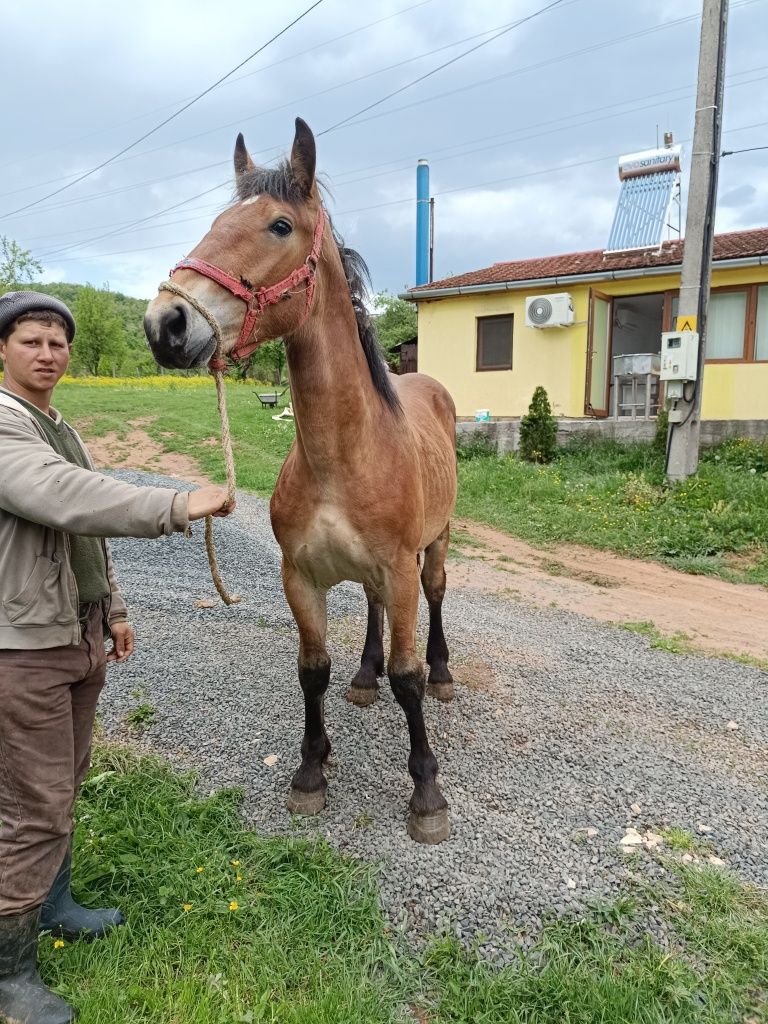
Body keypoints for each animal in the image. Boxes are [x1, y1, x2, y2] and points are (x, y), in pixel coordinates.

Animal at [144, 116, 456, 843]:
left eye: (279, 226)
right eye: (216, 221)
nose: (165, 323)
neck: (342, 456)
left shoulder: (398, 568)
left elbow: (407, 677)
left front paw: (426, 793)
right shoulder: (301, 577)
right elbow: (312, 670)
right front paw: (311, 772)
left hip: (436, 546)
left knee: (435, 599)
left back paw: (444, 672)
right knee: (371, 615)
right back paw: (365, 676)